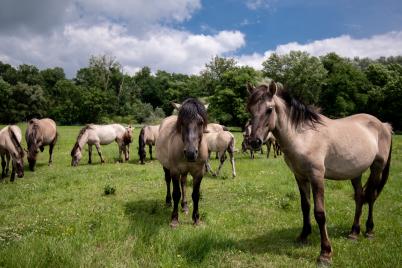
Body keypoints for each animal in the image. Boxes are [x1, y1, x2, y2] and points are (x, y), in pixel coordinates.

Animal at [245, 81, 392, 264]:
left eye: (269, 109)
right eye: (249, 109)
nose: (254, 142)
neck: (304, 136)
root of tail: (384, 125)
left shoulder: (317, 177)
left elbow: (320, 213)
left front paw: (325, 253)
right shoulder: (300, 177)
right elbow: (305, 206)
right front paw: (303, 236)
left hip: (377, 168)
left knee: (370, 197)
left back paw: (369, 231)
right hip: (355, 172)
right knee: (359, 197)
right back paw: (353, 232)